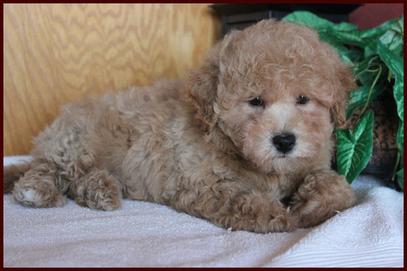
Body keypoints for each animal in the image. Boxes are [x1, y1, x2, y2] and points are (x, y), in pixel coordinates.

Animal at [3, 20, 356, 235]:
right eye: (255, 101)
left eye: (303, 99)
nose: (284, 141)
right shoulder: (197, 181)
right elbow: (238, 198)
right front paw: (277, 215)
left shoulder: (312, 160)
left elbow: (341, 188)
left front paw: (313, 203)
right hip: (78, 138)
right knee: (49, 170)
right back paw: (38, 190)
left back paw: (100, 190)